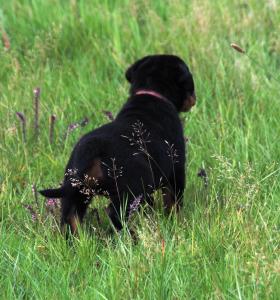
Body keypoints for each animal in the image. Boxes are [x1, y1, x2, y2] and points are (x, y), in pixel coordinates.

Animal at [40, 55, 197, 234]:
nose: (194, 100)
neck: (151, 93)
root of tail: (94, 147)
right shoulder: (176, 169)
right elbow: (173, 202)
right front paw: (177, 222)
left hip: (75, 191)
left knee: (70, 217)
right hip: (133, 186)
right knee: (115, 213)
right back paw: (130, 235)